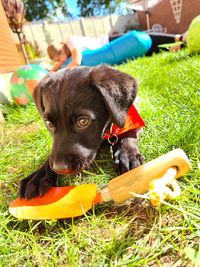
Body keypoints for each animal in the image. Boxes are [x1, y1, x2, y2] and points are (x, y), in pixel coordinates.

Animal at [19, 64, 145, 199]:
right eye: (49, 124)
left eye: (83, 121)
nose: (60, 168)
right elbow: (51, 155)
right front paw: (38, 176)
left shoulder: (131, 118)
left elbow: (128, 134)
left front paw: (127, 154)